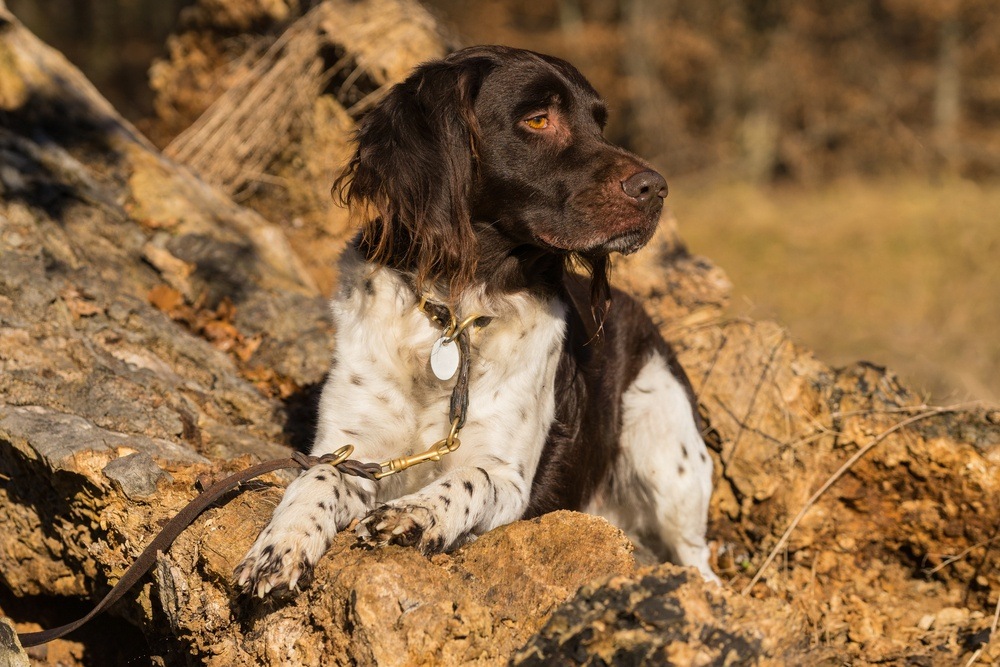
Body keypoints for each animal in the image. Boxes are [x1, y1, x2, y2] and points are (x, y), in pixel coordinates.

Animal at [236, 43, 720, 596]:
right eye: (538, 119)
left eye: (599, 124)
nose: (656, 189)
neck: (457, 313)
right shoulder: (353, 447)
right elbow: (317, 476)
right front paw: (281, 544)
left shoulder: (510, 479)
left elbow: (472, 479)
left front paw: (414, 513)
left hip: (664, 443)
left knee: (699, 559)